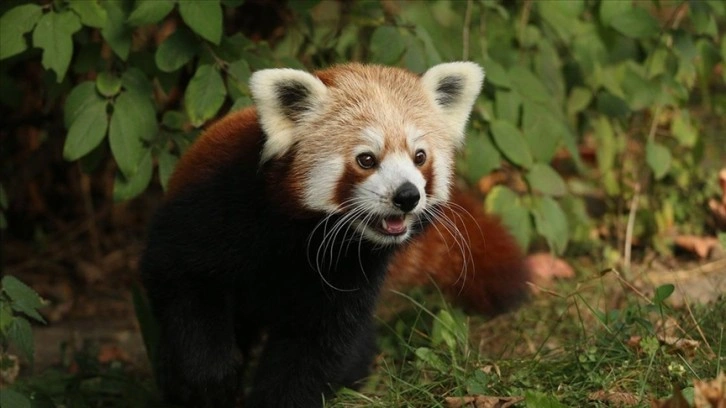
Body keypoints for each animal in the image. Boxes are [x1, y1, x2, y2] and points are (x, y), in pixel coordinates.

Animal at [140, 61, 500, 408]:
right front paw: (210, 376)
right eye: (366, 159)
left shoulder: (348, 272)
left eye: (420, 157)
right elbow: (179, 280)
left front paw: (282, 399)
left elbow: (315, 347)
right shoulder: (216, 206)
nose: (407, 195)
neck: (300, 235)